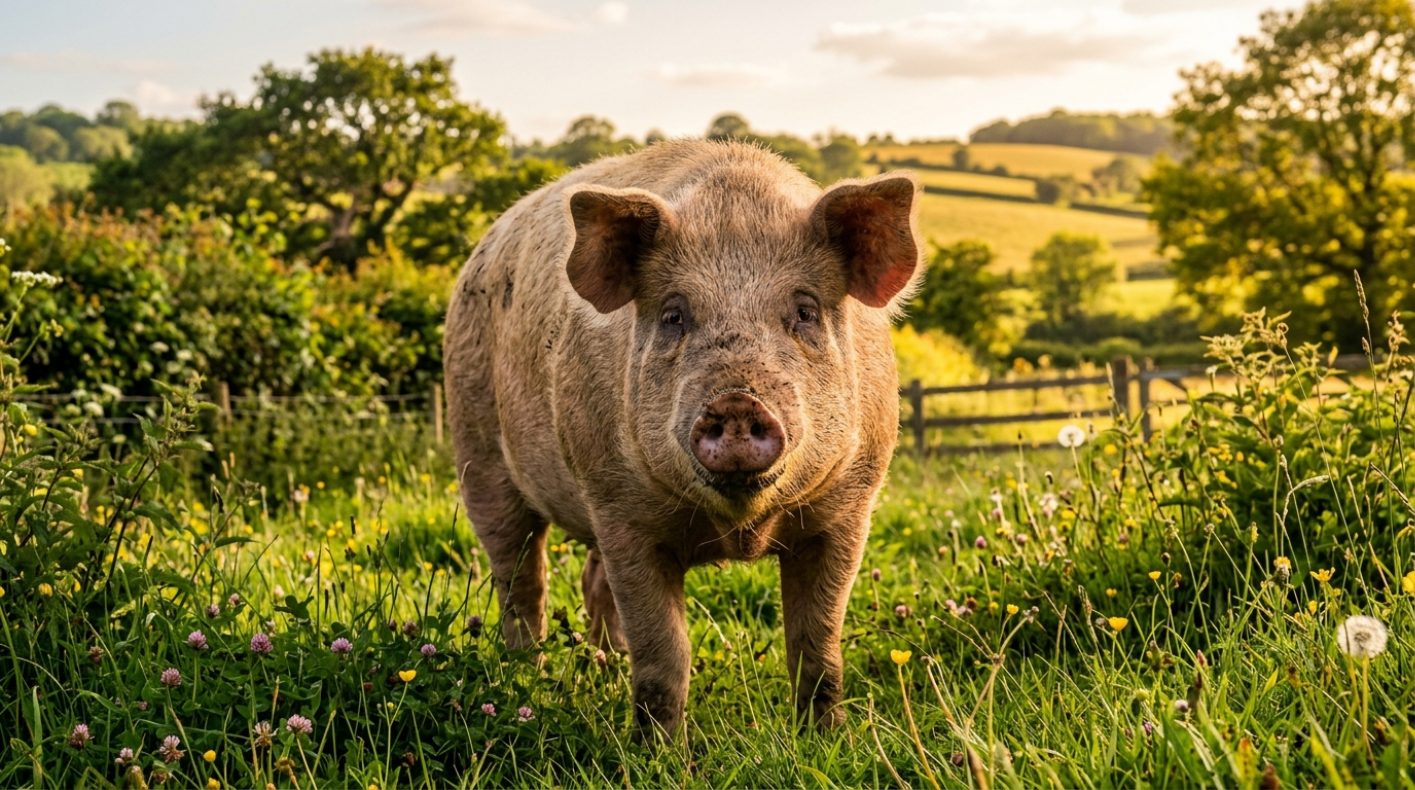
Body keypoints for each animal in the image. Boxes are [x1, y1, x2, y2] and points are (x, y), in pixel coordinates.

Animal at [443, 139, 920, 737]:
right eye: (674, 314)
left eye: (805, 310)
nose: (737, 402)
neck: (739, 527)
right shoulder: (619, 508)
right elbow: (664, 652)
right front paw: (656, 750)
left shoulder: (850, 506)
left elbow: (817, 643)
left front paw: (828, 739)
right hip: (478, 452)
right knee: (519, 575)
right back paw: (525, 677)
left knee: (590, 583)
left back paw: (603, 667)